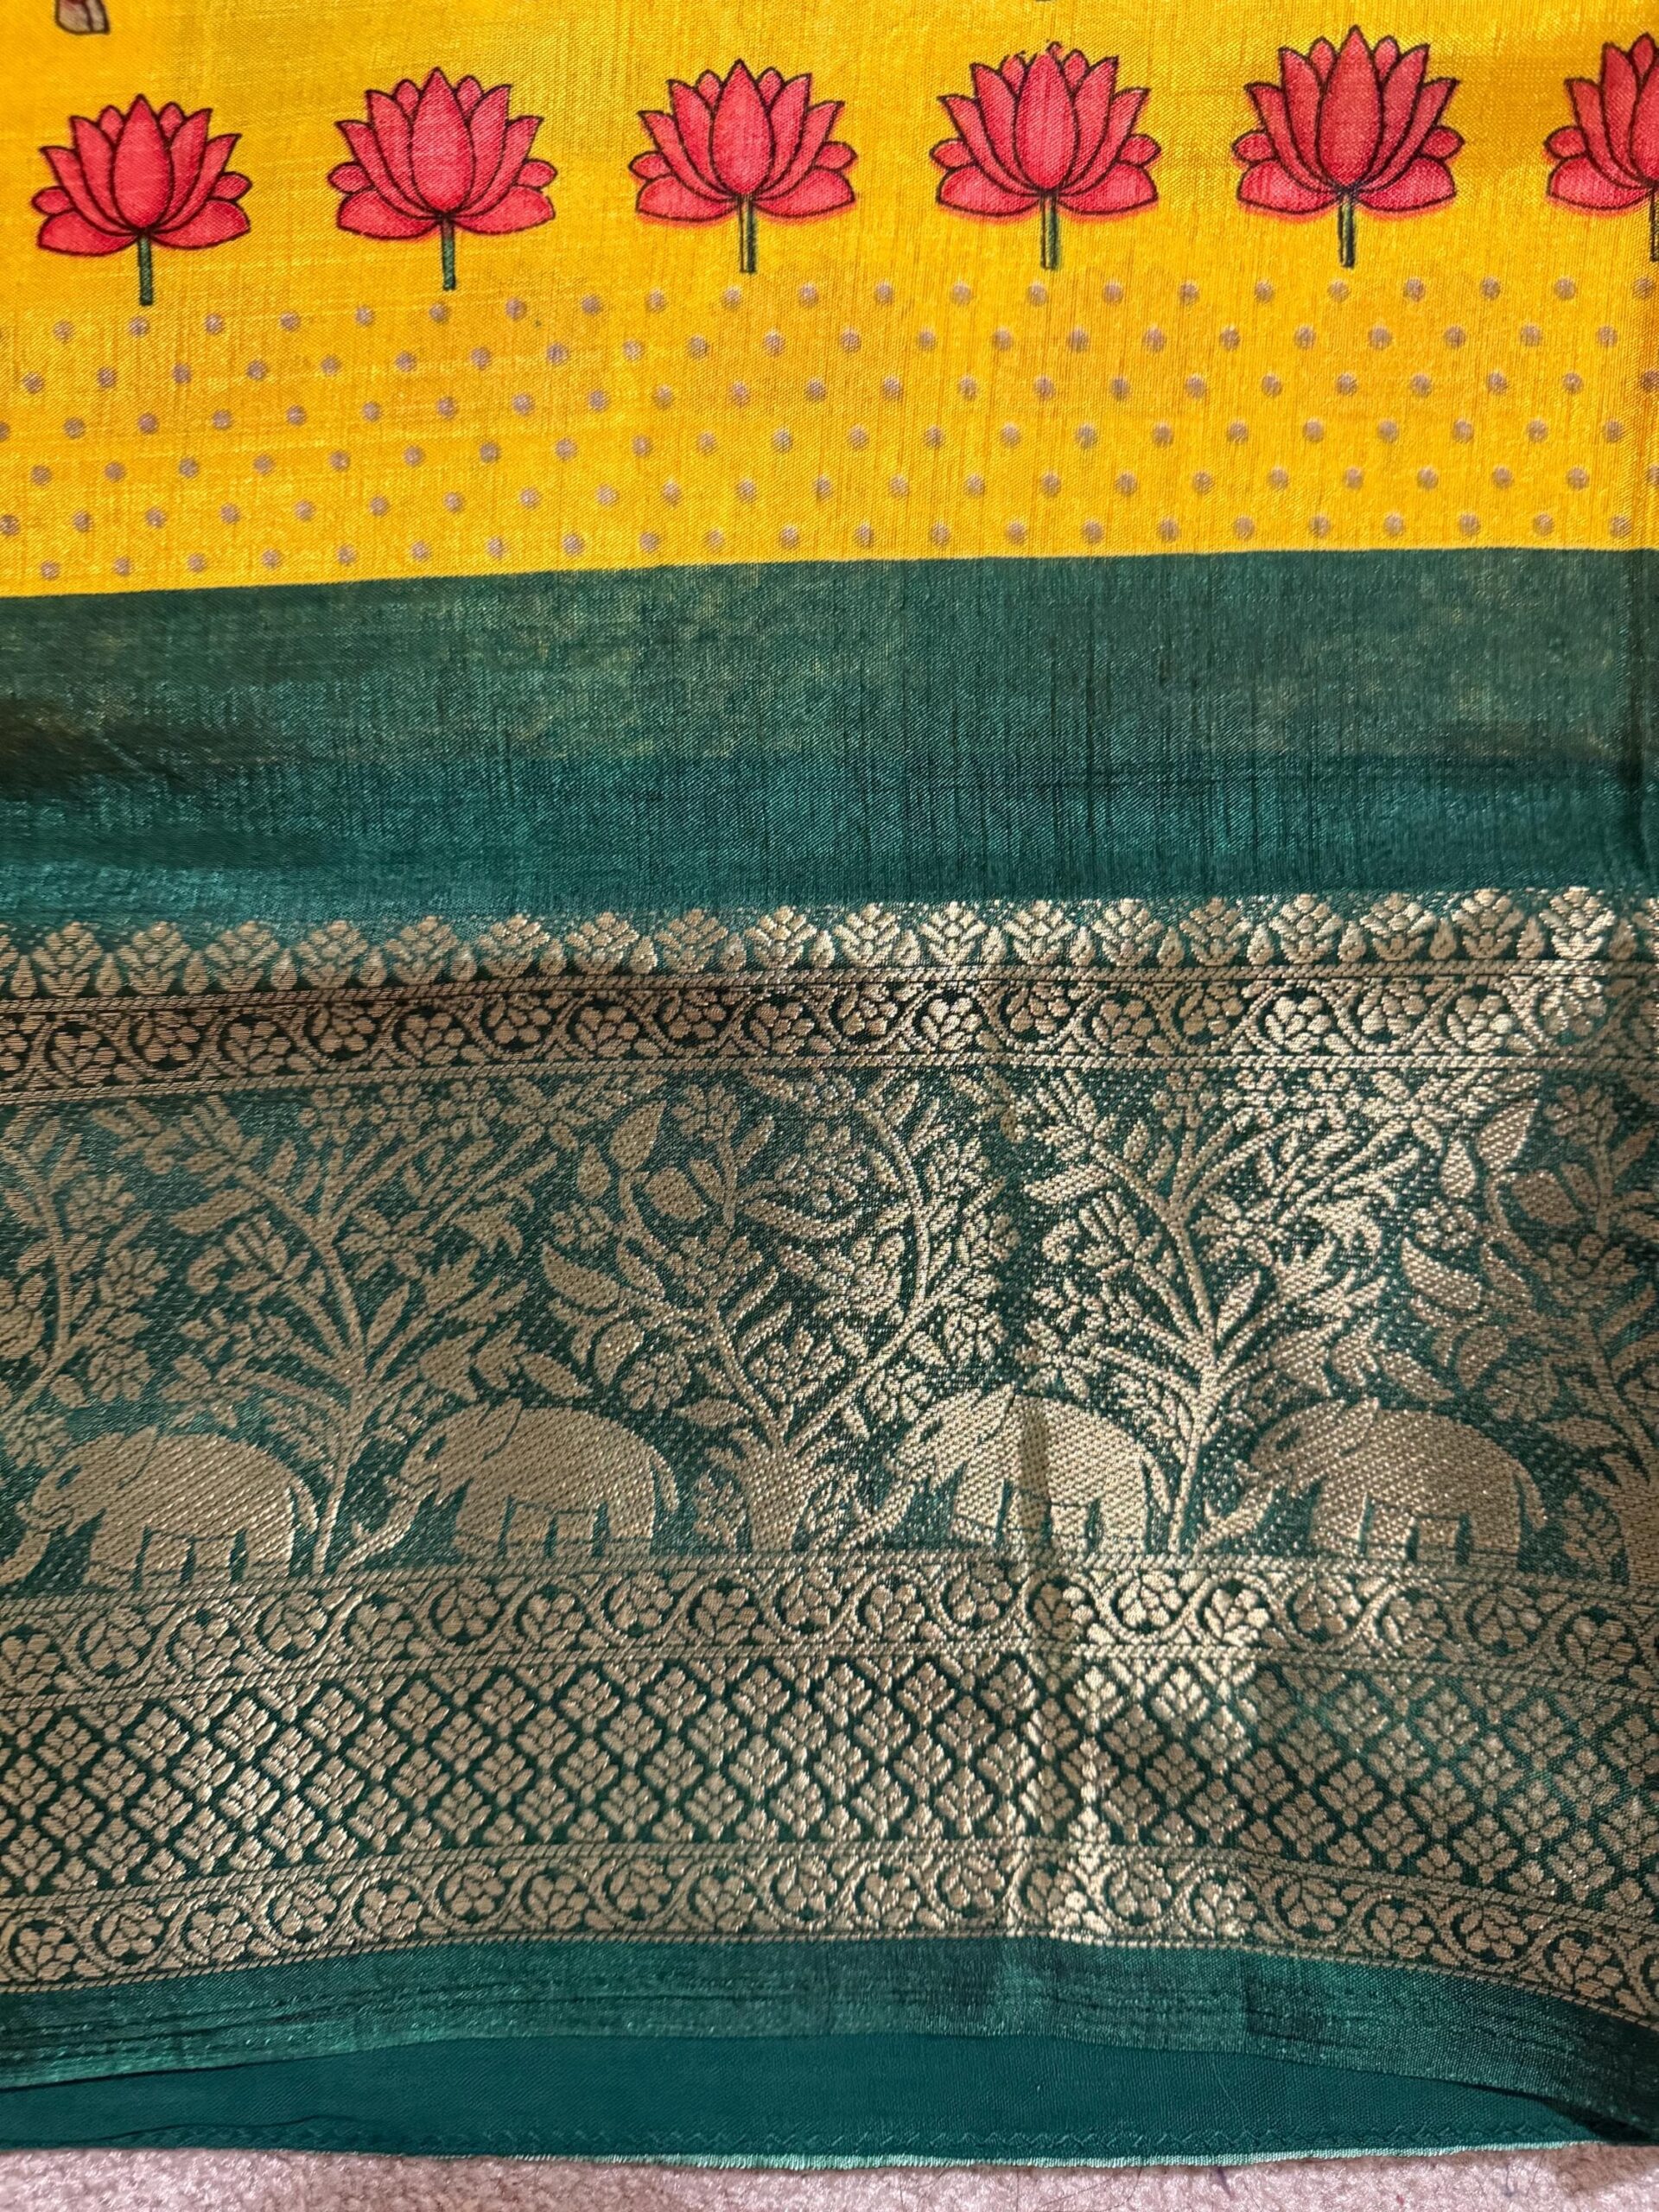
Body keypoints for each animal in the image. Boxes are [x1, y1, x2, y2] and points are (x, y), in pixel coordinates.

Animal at [892, 1385, 1154, 1552]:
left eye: (930, 1431)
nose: (892, 1461)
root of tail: (1142, 1451)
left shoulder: (990, 1453)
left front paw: (971, 1540)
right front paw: (1016, 1542)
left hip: (1124, 1476)